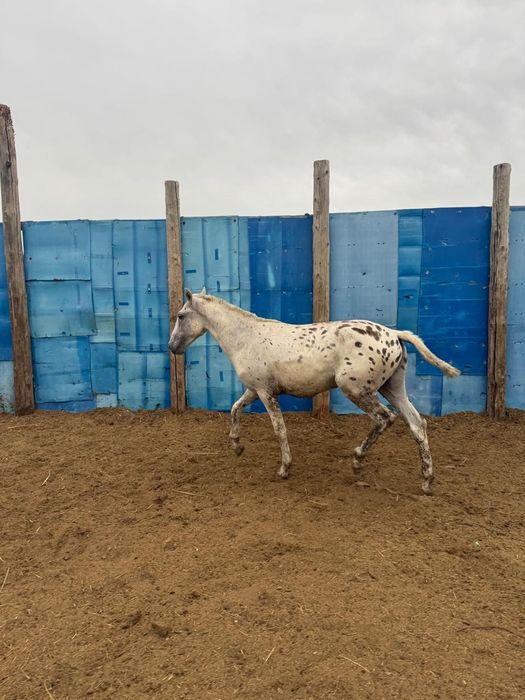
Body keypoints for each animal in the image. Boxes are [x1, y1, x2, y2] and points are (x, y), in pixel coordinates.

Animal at [169, 289, 460, 494]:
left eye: (181, 316)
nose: (172, 347)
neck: (246, 338)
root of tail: (394, 334)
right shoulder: (254, 389)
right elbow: (234, 409)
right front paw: (237, 446)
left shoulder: (265, 392)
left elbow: (279, 429)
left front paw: (284, 468)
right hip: (393, 389)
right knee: (417, 425)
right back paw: (426, 482)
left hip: (355, 388)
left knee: (384, 418)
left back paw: (357, 461)